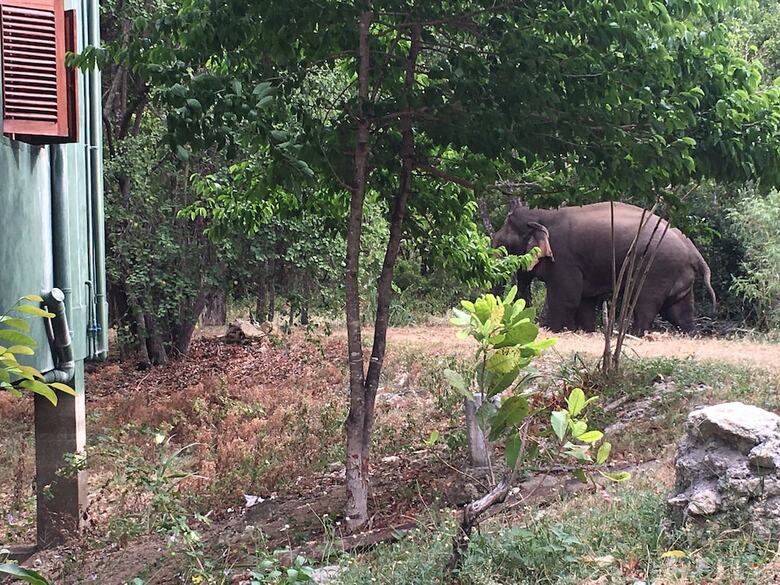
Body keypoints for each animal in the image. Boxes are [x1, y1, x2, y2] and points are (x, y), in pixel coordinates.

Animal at [492, 202, 716, 334]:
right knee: (678, 310)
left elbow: (566, 299)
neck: (541, 215)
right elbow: (585, 302)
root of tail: (694, 251)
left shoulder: (565, 258)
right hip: (677, 273)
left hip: (657, 268)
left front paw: (553, 331)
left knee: (645, 305)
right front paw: (586, 332)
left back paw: (634, 334)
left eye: (506, 245)